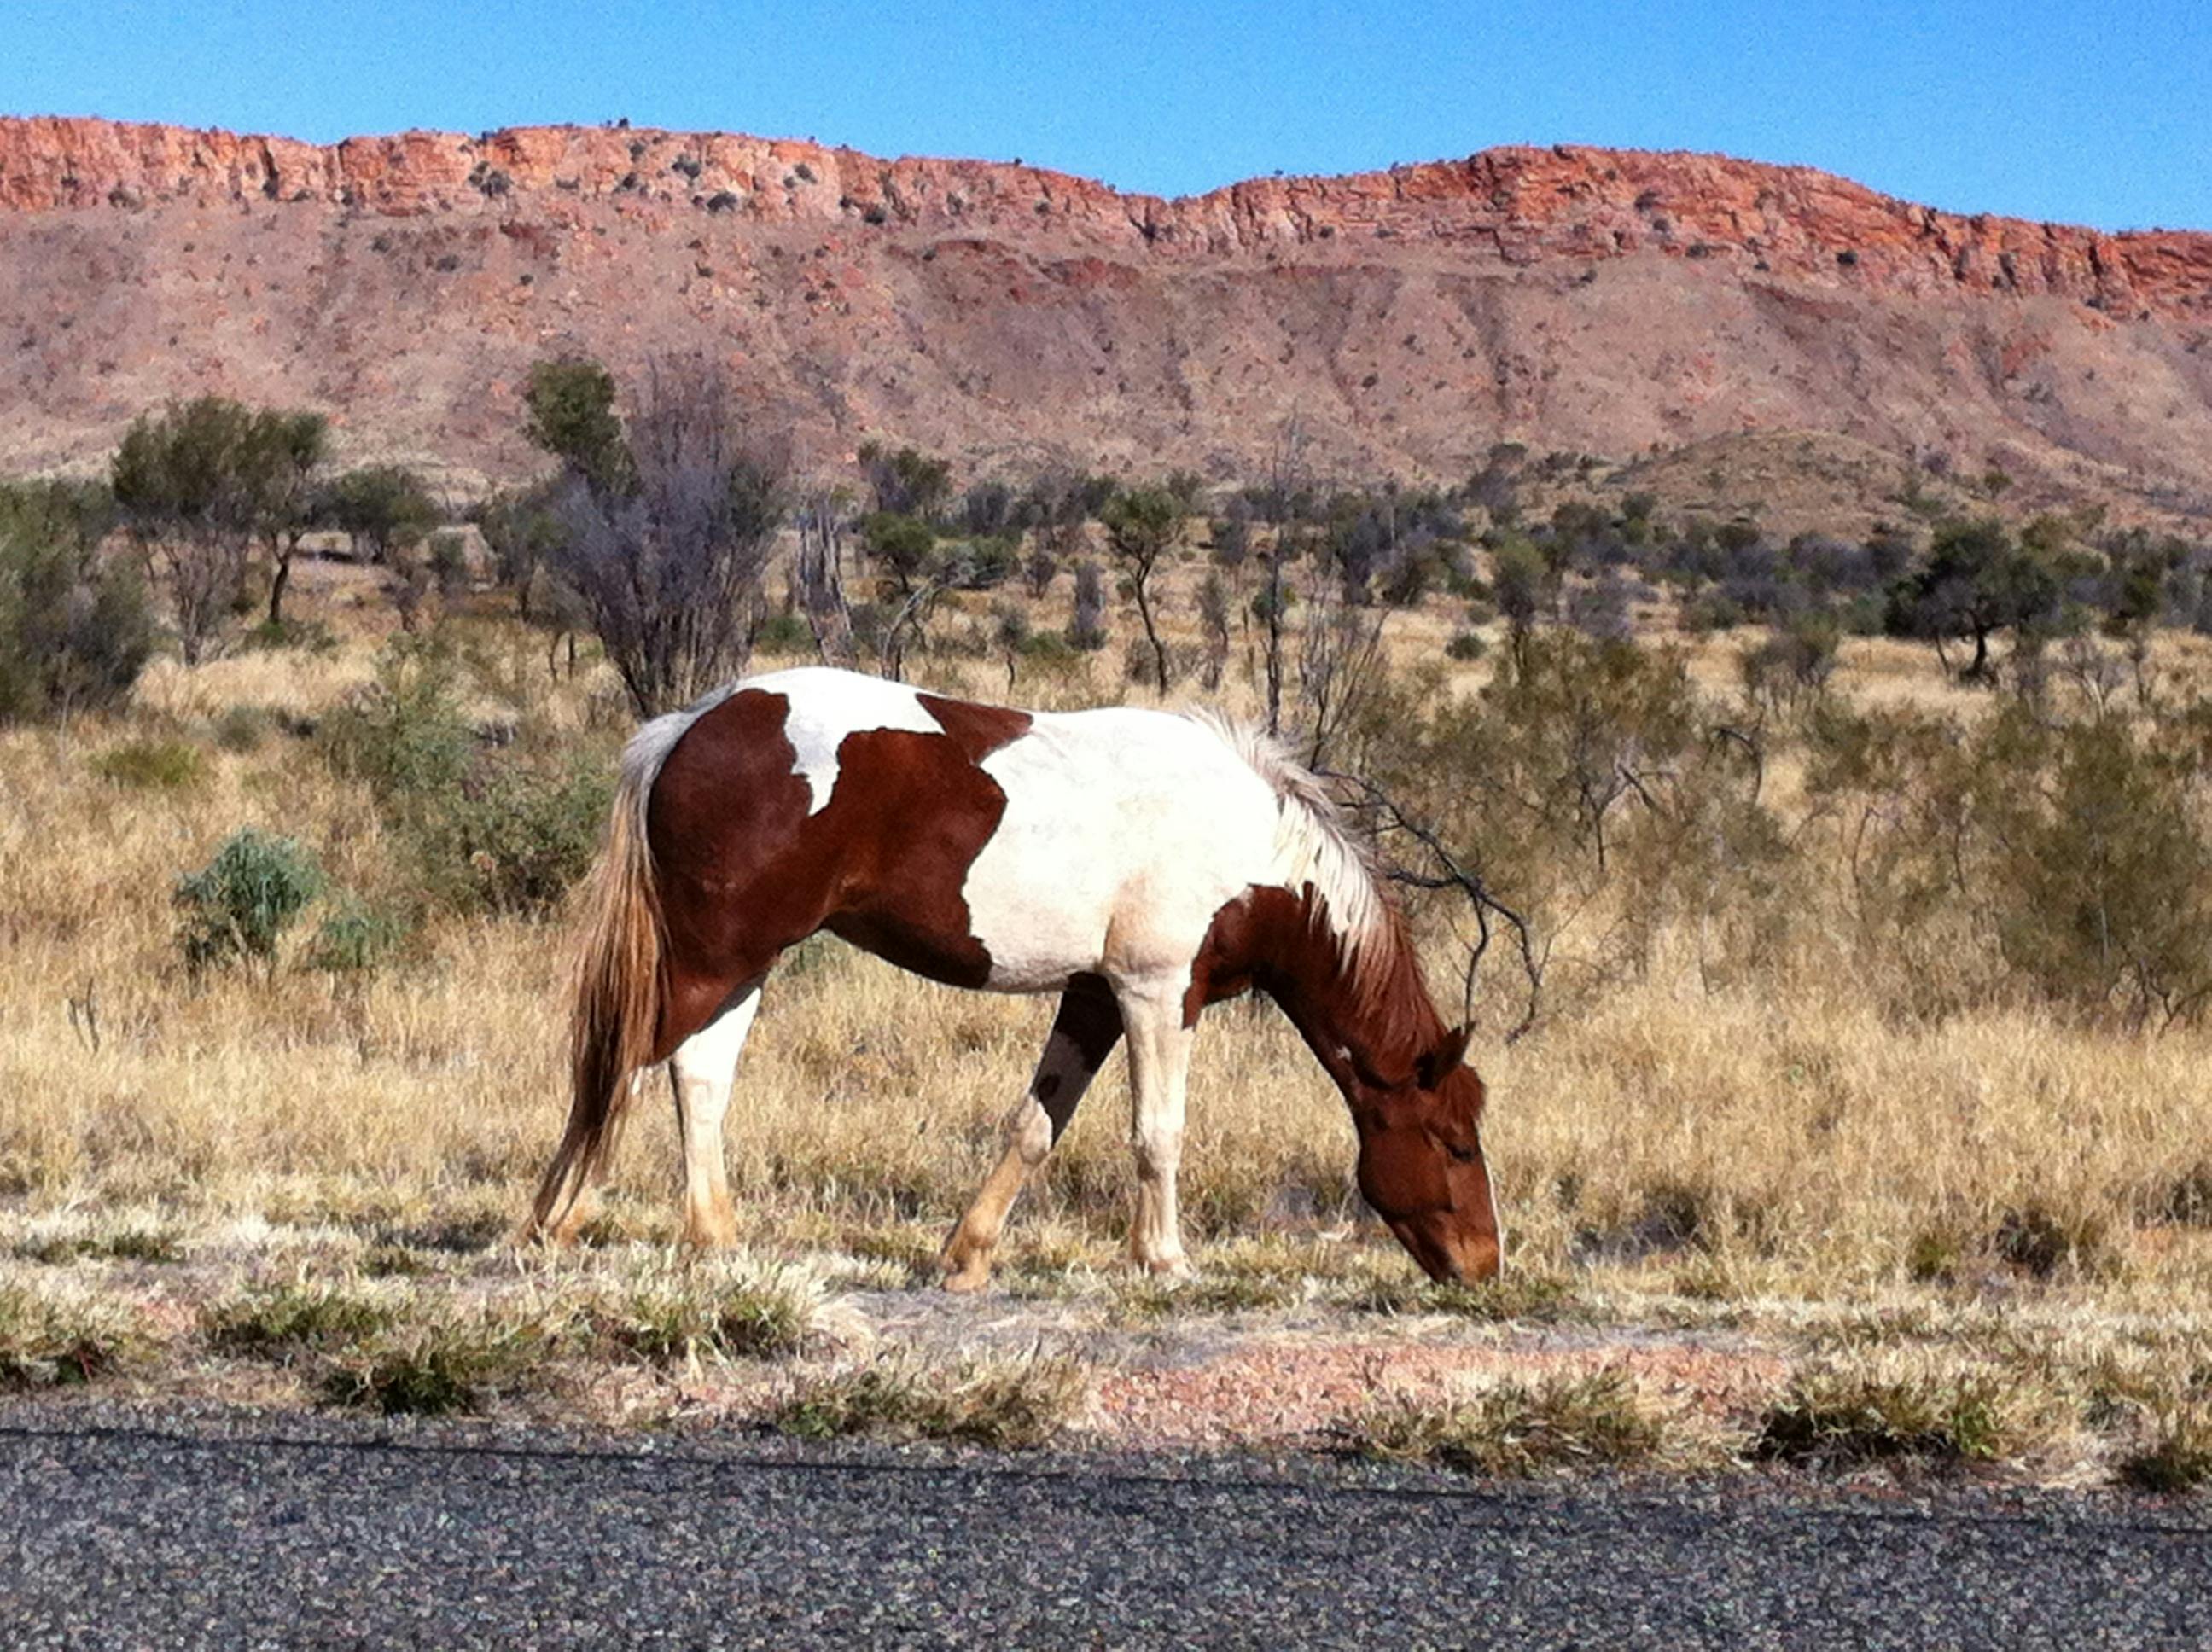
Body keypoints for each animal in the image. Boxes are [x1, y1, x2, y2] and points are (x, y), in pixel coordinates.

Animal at [527, 666, 1501, 1287]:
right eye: (1456, 1143)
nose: (1485, 1267)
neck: (1250, 844)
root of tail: (692, 723)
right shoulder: (1157, 992)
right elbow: (1158, 1132)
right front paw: (1164, 1260)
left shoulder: (1094, 997)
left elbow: (1037, 1127)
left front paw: (966, 1255)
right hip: (710, 959)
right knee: (619, 1070)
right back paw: (551, 1223)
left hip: (740, 966)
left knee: (696, 1079)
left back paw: (715, 1238)